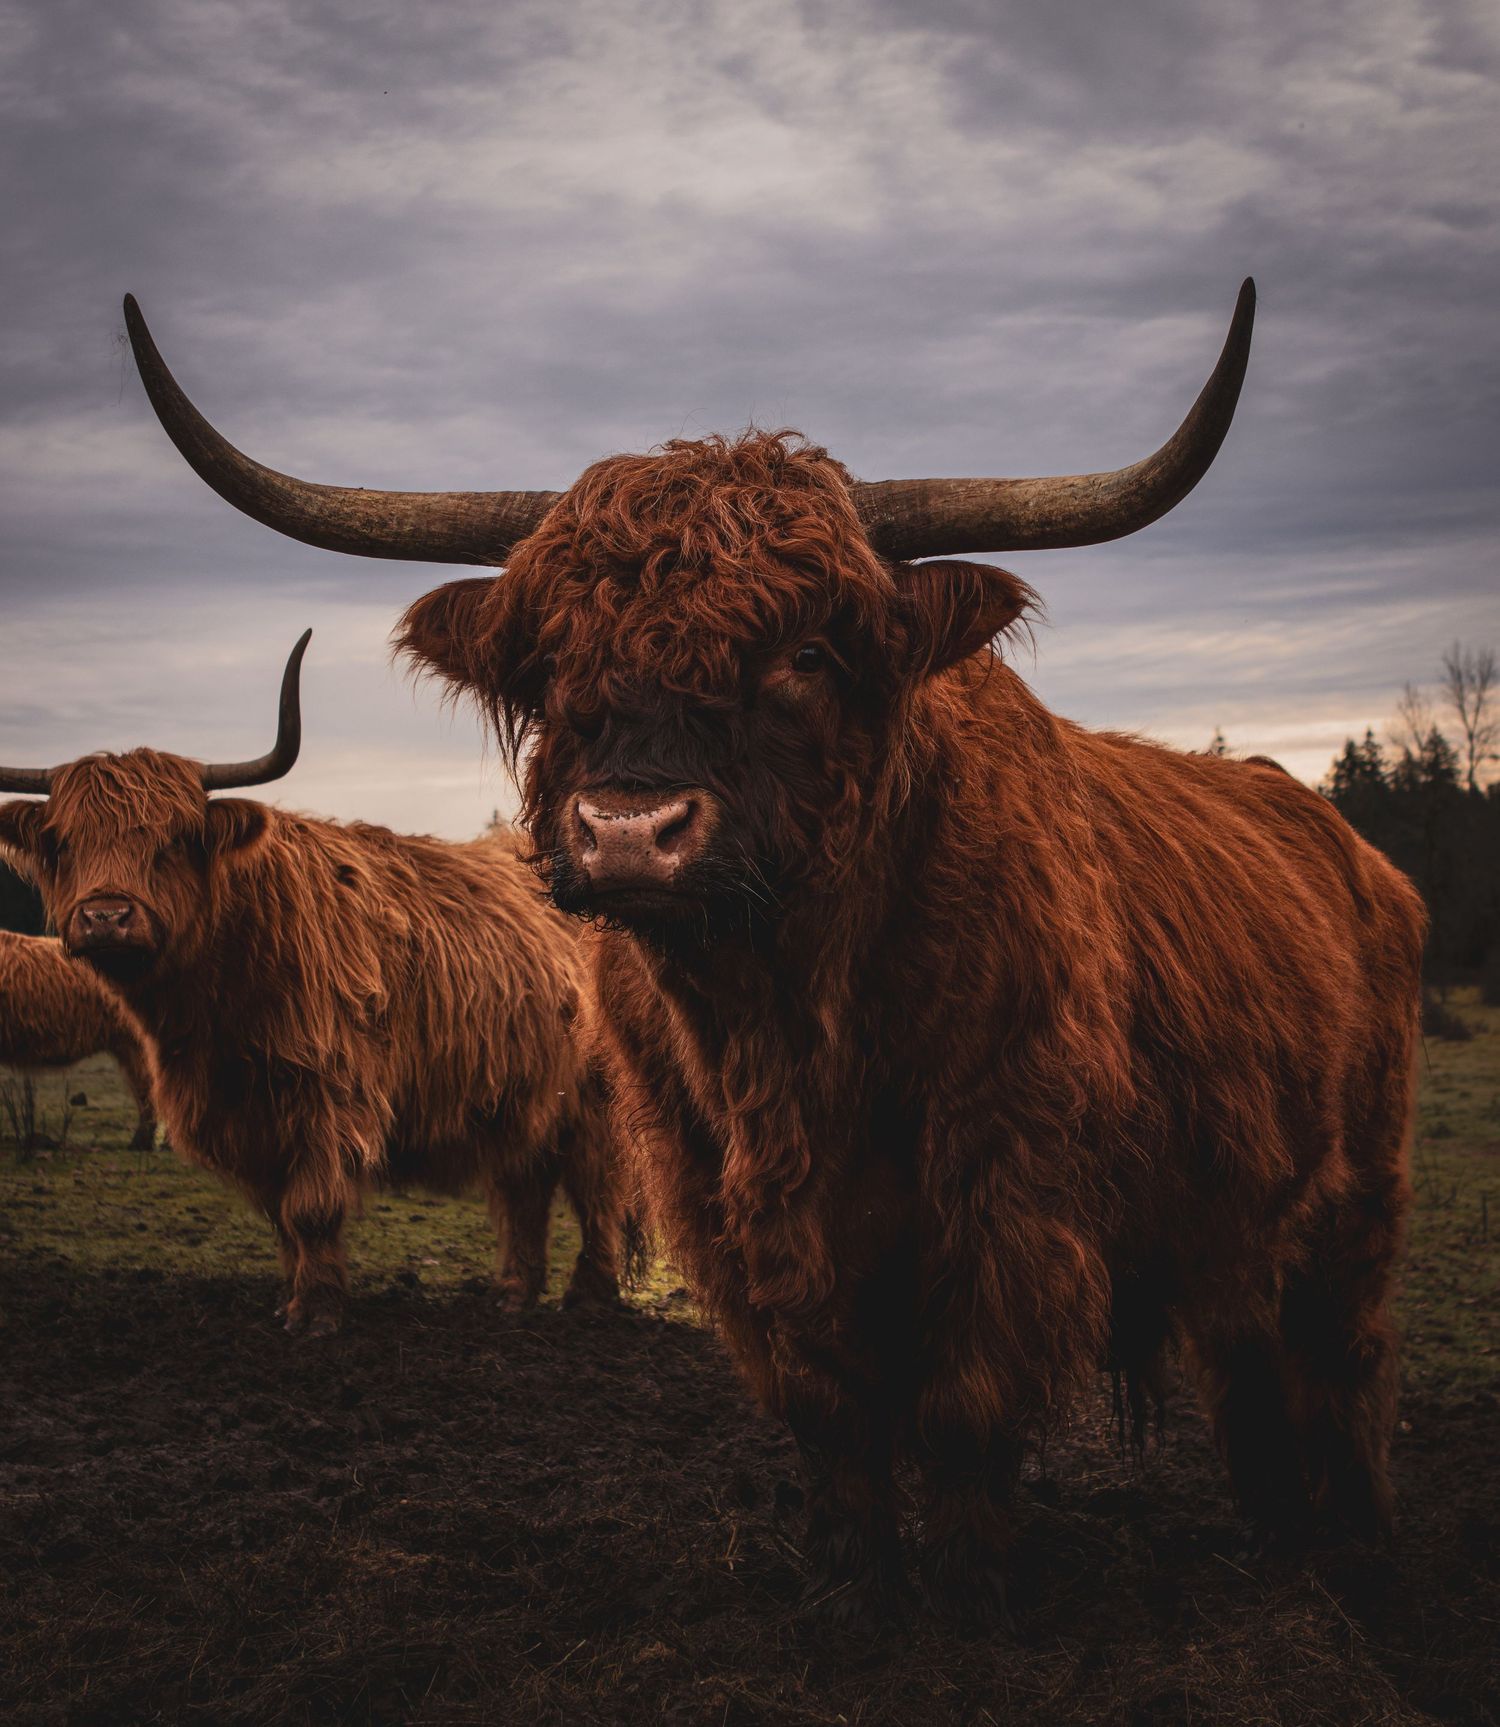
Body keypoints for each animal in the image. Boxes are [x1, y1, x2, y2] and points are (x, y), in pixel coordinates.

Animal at [122, 281, 1426, 1628]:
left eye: (804, 654)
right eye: (554, 662)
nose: (628, 830)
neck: (796, 1023)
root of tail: (1338, 835)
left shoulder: (1010, 1186)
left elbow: (965, 1402)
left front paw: (967, 1590)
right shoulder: (724, 1195)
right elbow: (824, 1399)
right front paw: (850, 1581)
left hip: (1358, 1185)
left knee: (1343, 1350)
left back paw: (1354, 1542)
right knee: (1248, 1353)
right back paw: (1276, 1534)